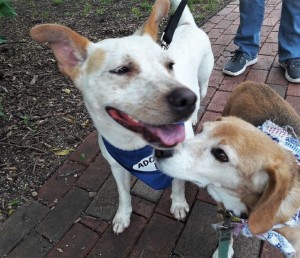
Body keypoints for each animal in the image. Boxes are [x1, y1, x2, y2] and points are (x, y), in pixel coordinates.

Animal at [29, 0, 213, 234]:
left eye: (170, 65)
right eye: (121, 70)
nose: (187, 99)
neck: (133, 145)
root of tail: (188, 25)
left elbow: (178, 185)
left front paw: (179, 204)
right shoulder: (117, 168)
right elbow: (123, 195)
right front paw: (122, 216)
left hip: (203, 82)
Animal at [156, 82, 300, 256]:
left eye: (221, 154)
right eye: (202, 131)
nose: (159, 149)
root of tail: (251, 83)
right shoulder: (224, 210)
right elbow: (227, 230)